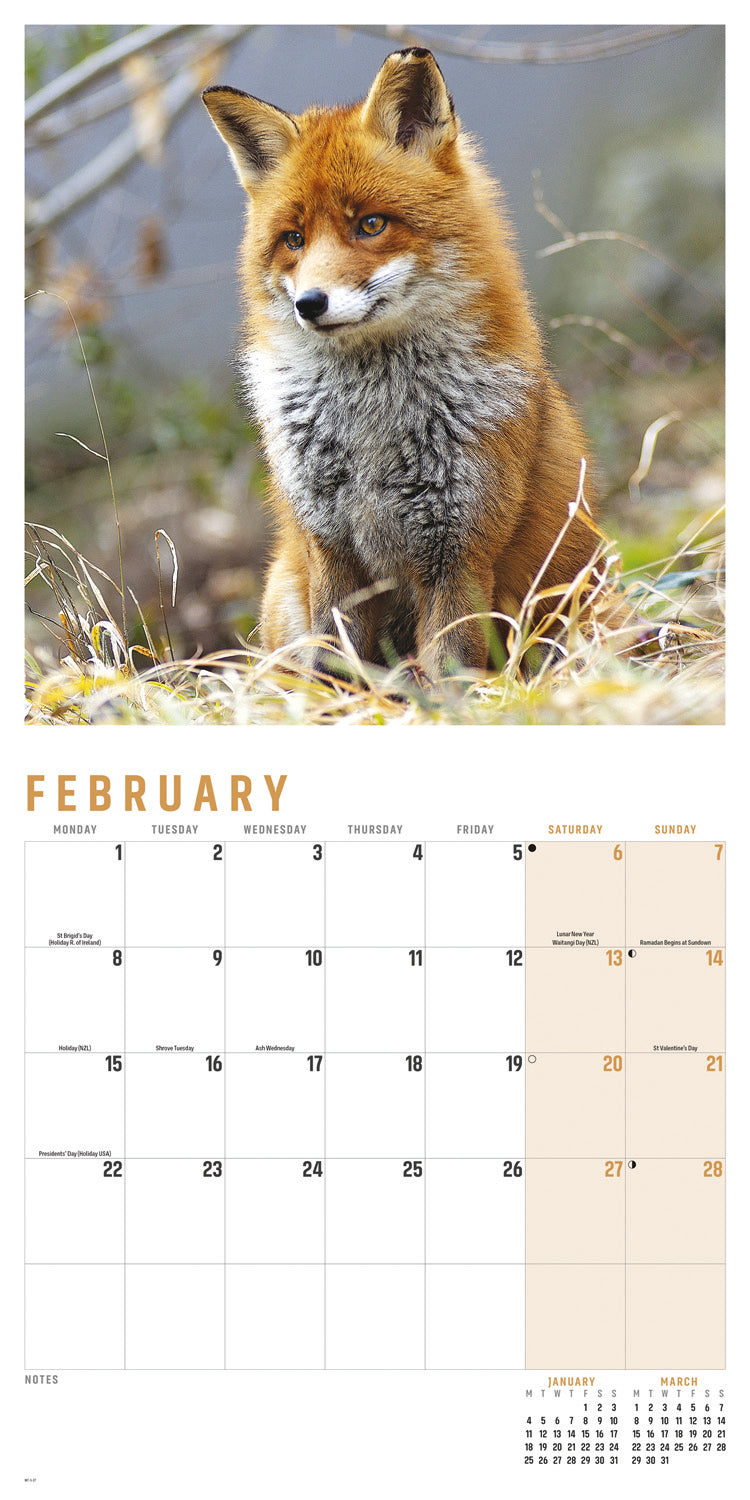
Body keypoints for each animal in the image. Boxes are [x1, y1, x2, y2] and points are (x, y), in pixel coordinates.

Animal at [202, 47, 600, 681]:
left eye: (370, 224)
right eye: (294, 238)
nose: (309, 303)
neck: (371, 422)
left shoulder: (460, 551)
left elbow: (449, 675)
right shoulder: (331, 548)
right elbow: (331, 664)